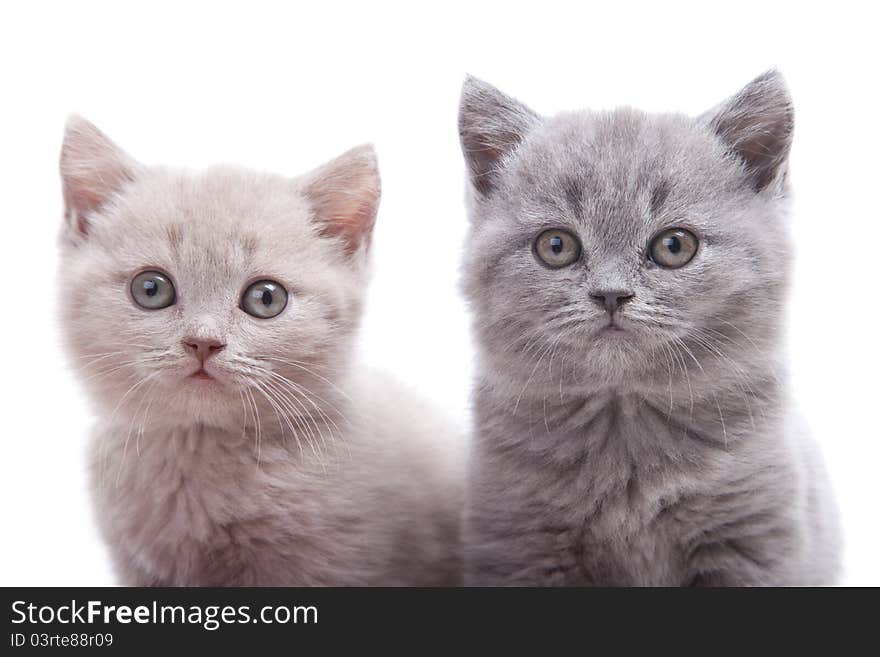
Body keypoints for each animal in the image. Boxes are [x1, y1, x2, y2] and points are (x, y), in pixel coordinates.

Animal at [460, 72, 840, 584]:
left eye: (674, 246)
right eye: (556, 246)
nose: (611, 294)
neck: (623, 421)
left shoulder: (751, 538)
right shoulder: (521, 543)